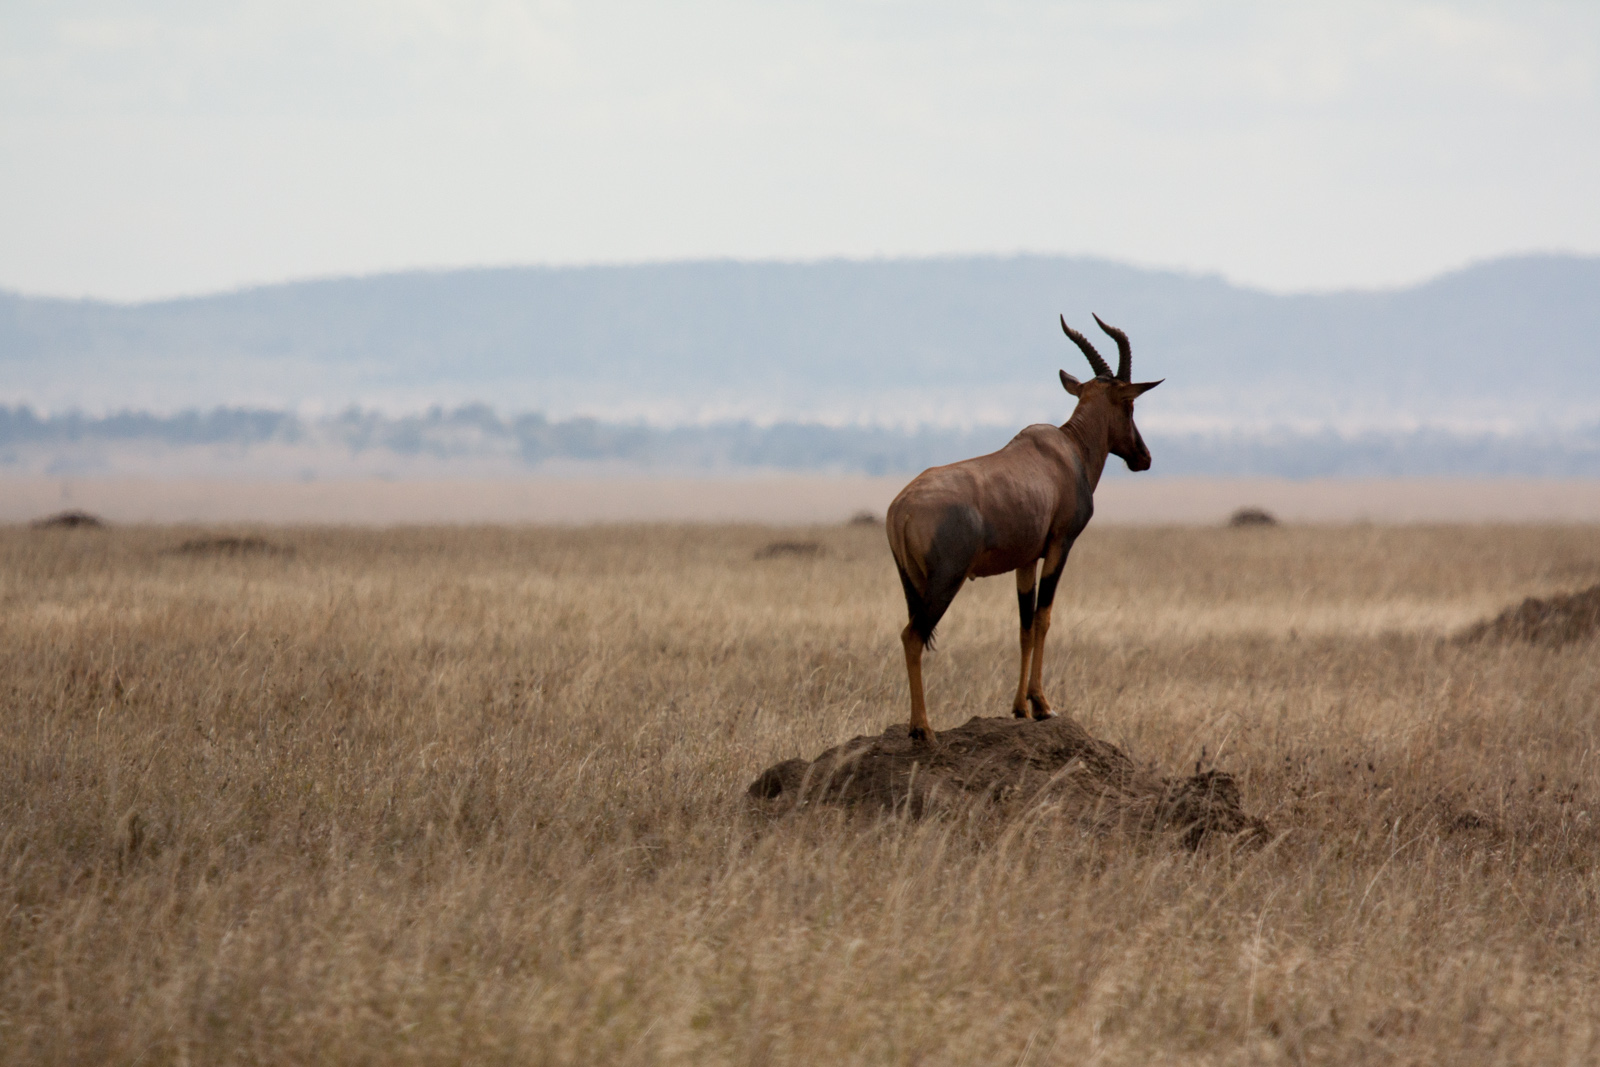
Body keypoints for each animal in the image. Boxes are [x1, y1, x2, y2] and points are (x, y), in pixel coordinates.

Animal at [889, 313, 1164, 739]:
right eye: (1130, 404)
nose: (1144, 458)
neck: (1067, 451)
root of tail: (902, 508)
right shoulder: (1059, 545)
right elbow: (1044, 619)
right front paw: (1043, 706)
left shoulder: (1025, 560)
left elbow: (1023, 626)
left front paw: (1020, 707)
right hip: (944, 581)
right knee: (912, 635)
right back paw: (922, 729)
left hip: (912, 582)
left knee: (912, 633)